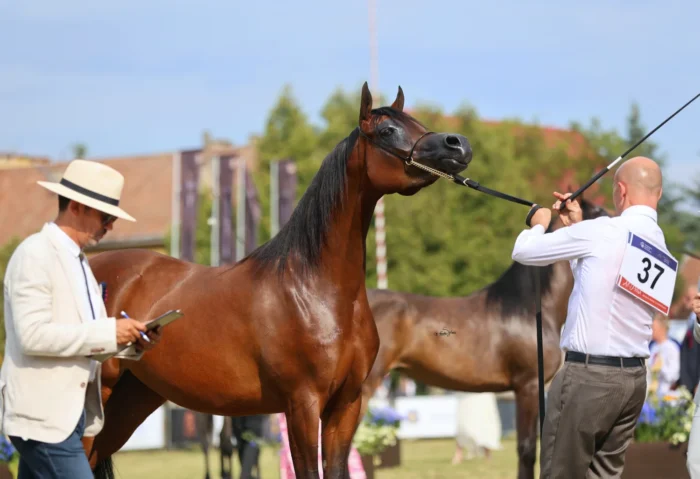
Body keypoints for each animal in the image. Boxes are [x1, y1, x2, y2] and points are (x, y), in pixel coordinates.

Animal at [83, 82, 473, 479]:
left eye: (417, 123)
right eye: (387, 131)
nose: (458, 144)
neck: (315, 290)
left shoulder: (346, 405)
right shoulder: (302, 404)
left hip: (132, 398)